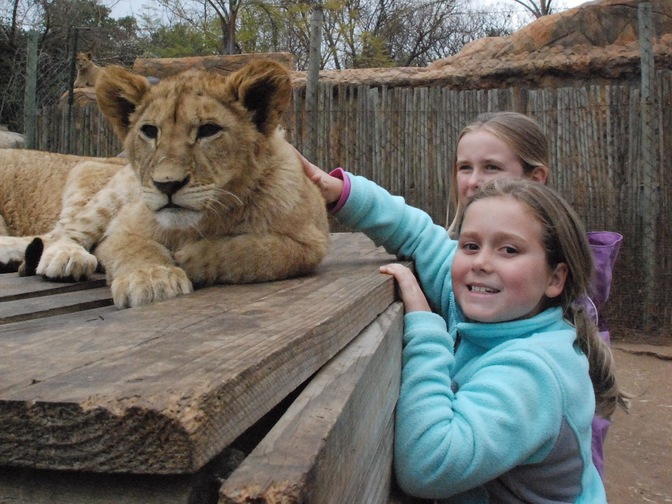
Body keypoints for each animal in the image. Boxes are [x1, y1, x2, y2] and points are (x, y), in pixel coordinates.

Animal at [0, 60, 330, 308]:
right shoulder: (120, 231)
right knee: (63, 232)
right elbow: (136, 247)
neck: (214, 215)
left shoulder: (312, 243)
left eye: (208, 130)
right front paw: (152, 278)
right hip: (107, 193)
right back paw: (65, 257)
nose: (167, 185)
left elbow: (260, 252)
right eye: (149, 131)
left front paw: (191, 258)